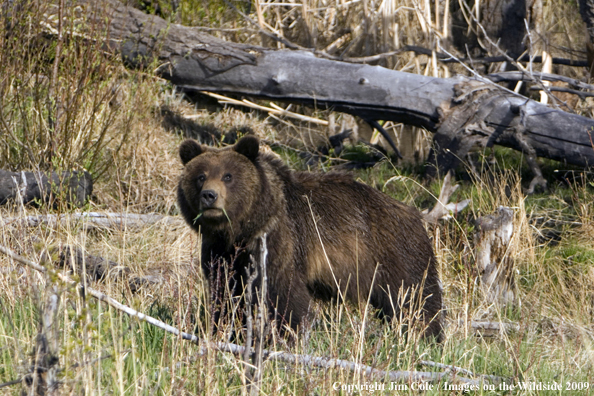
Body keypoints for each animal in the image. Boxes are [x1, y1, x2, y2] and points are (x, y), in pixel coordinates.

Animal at [178, 135, 442, 340]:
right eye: (200, 176)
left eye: (228, 176)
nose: (209, 195)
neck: (242, 230)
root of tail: (416, 216)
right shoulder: (220, 250)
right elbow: (225, 291)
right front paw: (222, 328)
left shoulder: (281, 240)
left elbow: (284, 293)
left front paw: (285, 335)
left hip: (396, 255)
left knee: (416, 300)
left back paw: (426, 336)